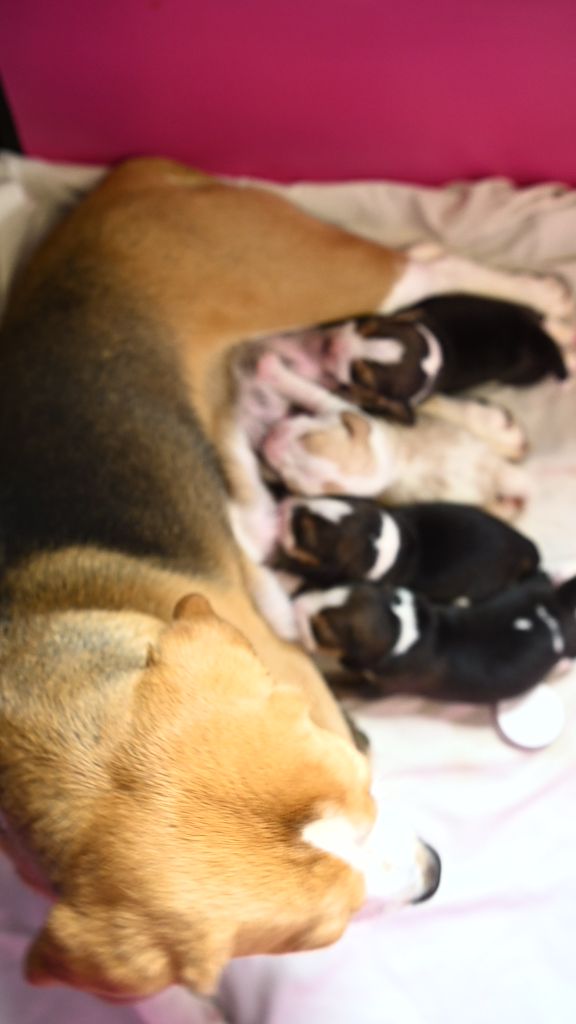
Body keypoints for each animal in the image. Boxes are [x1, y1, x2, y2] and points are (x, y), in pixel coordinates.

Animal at [291, 573, 573, 708]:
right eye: (332, 586)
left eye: (321, 628)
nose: (295, 602)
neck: (399, 625)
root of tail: (557, 605)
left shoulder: (378, 689)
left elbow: (345, 685)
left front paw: (326, 681)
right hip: (529, 590)